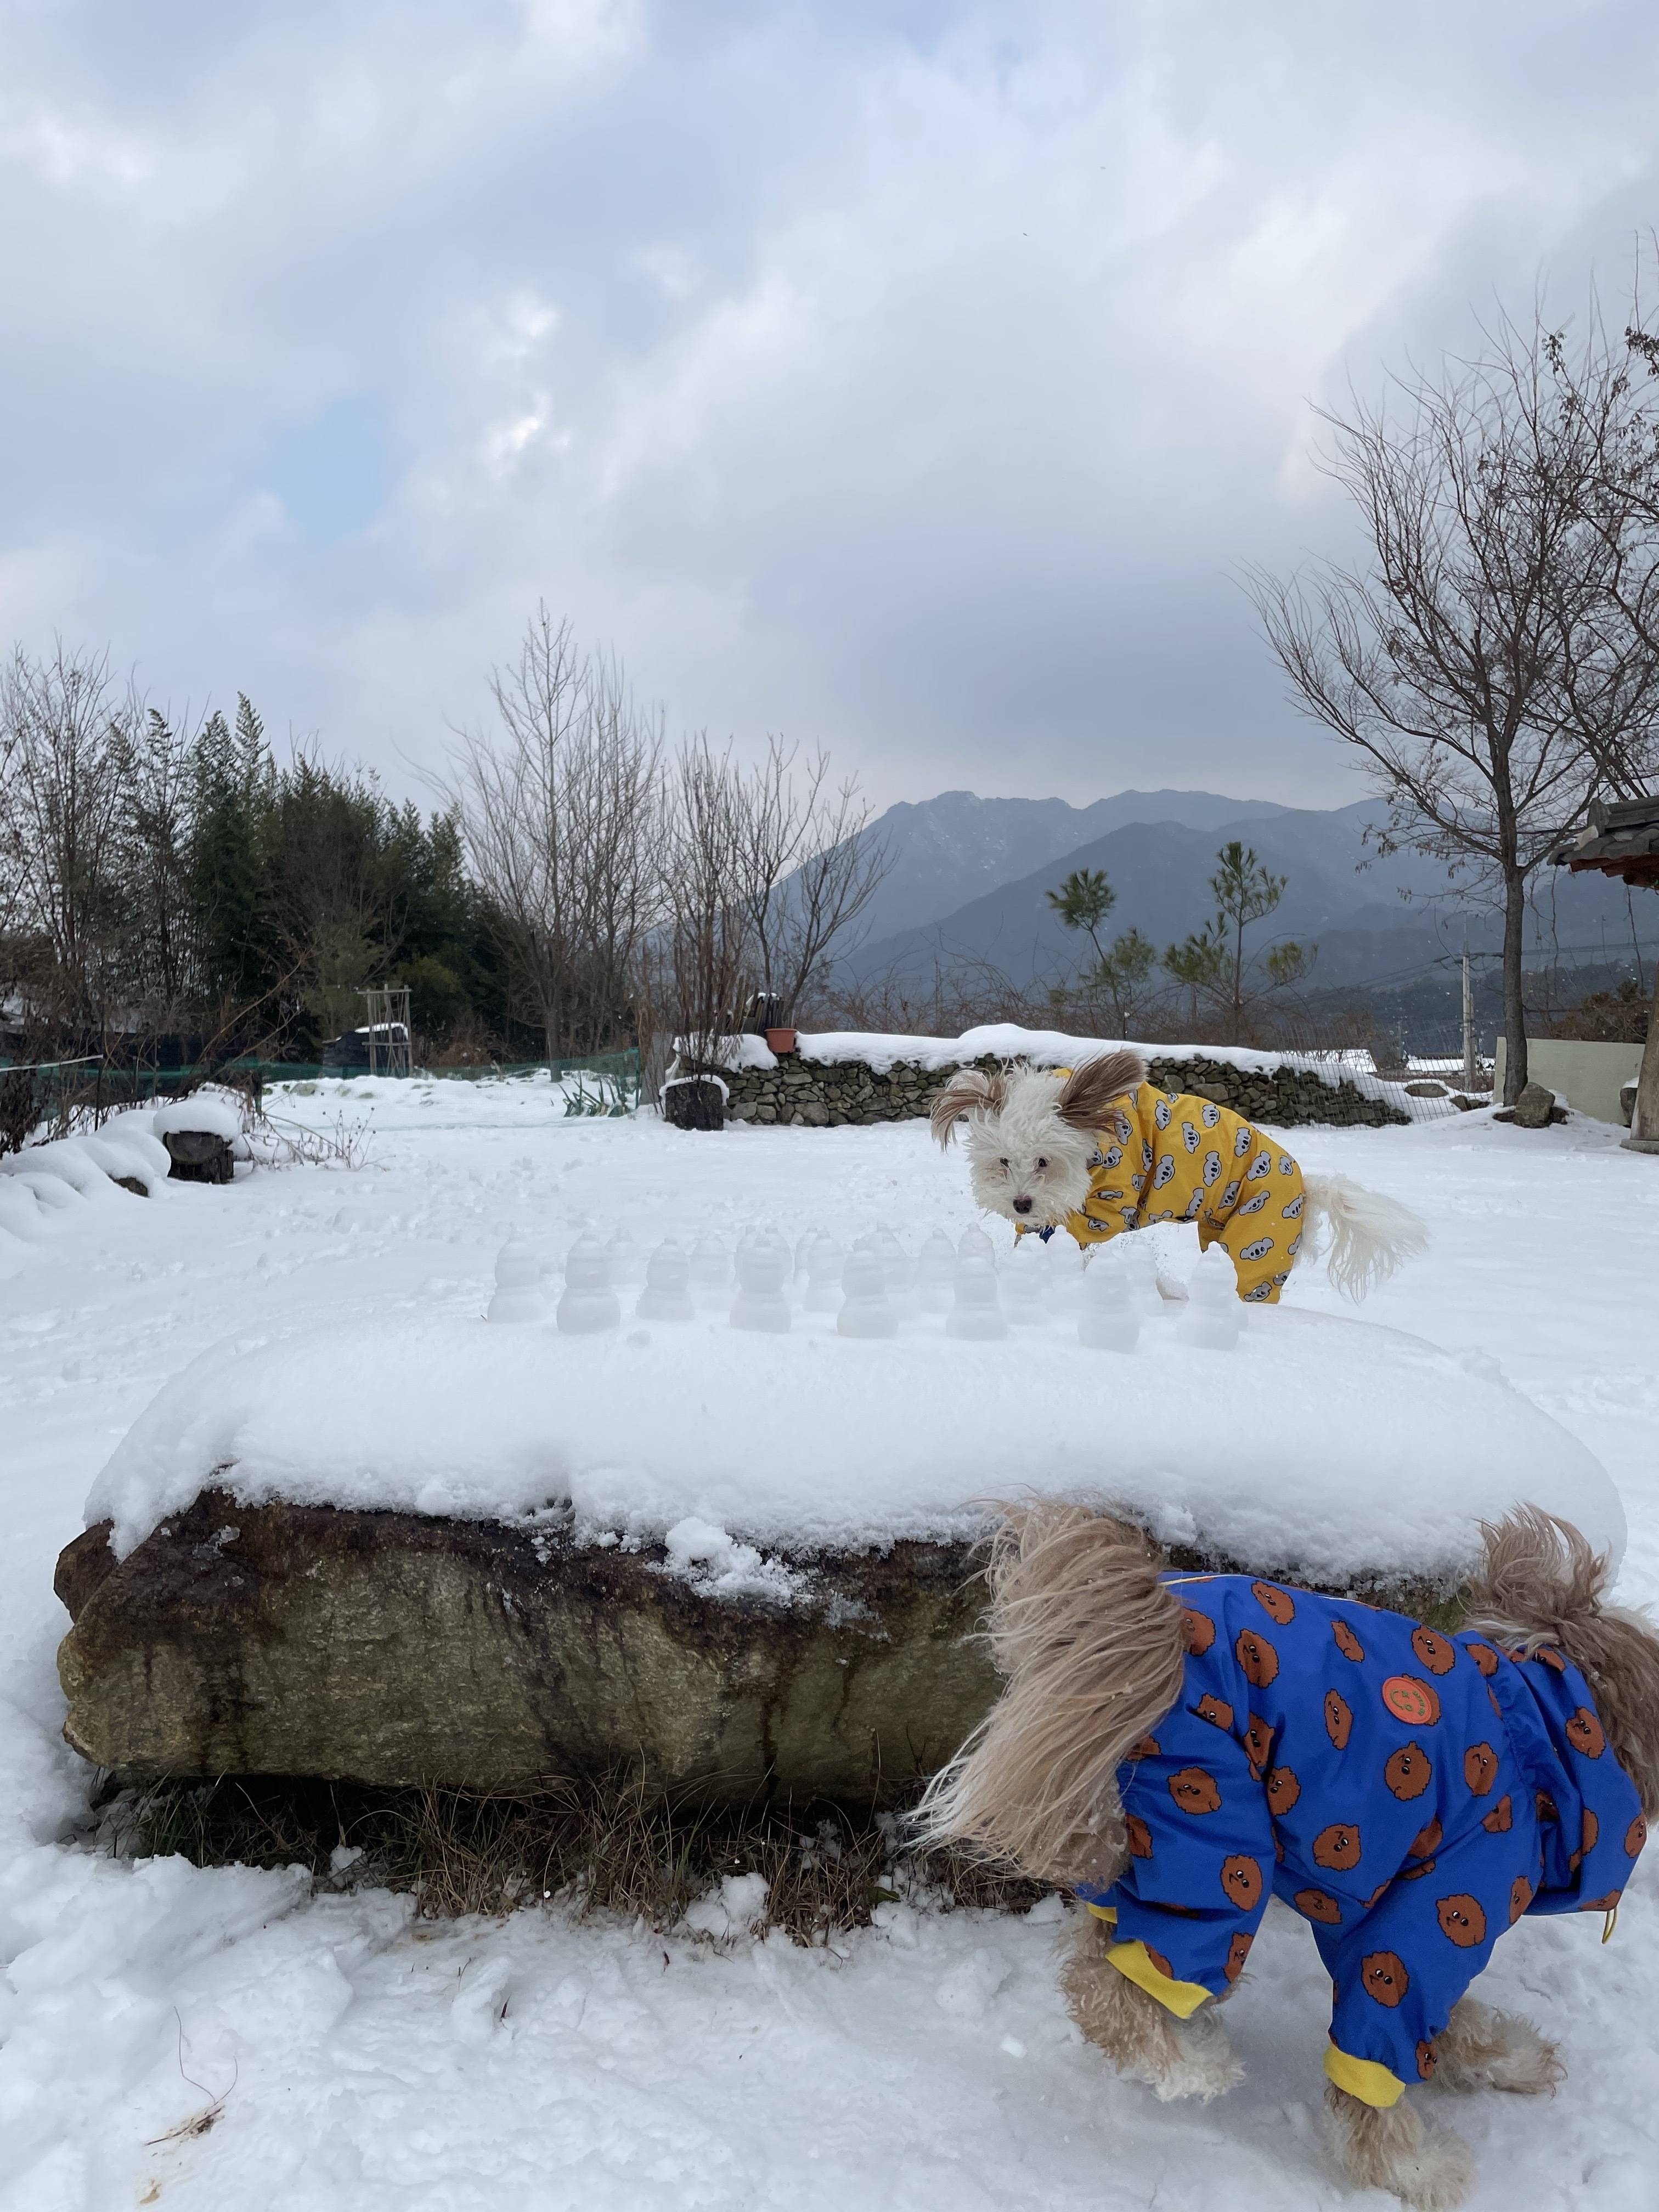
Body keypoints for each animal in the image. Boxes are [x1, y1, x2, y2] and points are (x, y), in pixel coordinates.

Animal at [924, 1504, 1659, 2212]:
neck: (1537, 1742)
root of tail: (1158, 1615)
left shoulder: (1378, 1912)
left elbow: (1447, 2025)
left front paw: (1512, 2060)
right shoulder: (1438, 1915)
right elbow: (1380, 2058)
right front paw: (1415, 2171)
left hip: (1159, 1830)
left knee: (1096, 1950)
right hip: (1221, 1829)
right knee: (1121, 1984)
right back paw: (1195, 2065)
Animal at [938, 1048, 1433, 1291]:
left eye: (1044, 1161)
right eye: (1004, 1162)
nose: (1022, 1203)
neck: (1101, 1140)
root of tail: (1307, 1185)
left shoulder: (1111, 1202)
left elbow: (1083, 1228)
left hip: (1259, 1238)